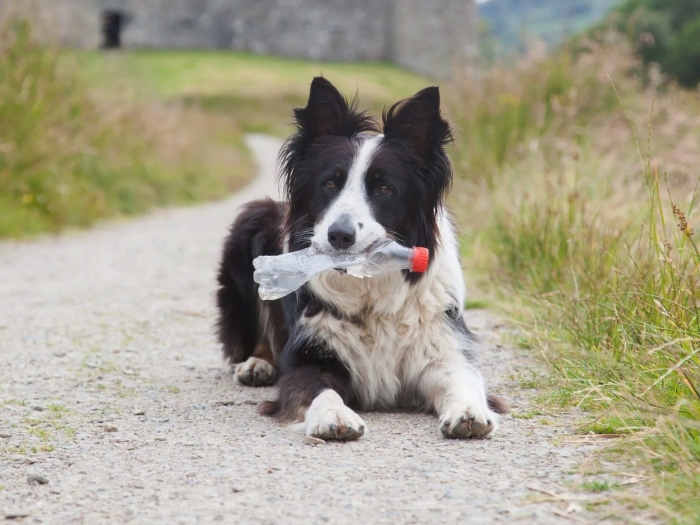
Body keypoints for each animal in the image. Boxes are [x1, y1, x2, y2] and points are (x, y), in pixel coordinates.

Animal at [216, 77, 506, 438]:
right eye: (329, 183)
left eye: (385, 189)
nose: (340, 236)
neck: (368, 291)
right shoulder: (308, 357)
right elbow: (317, 389)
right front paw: (334, 416)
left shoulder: (442, 350)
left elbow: (463, 379)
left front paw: (468, 411)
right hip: (250, 223)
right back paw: (255, 364)